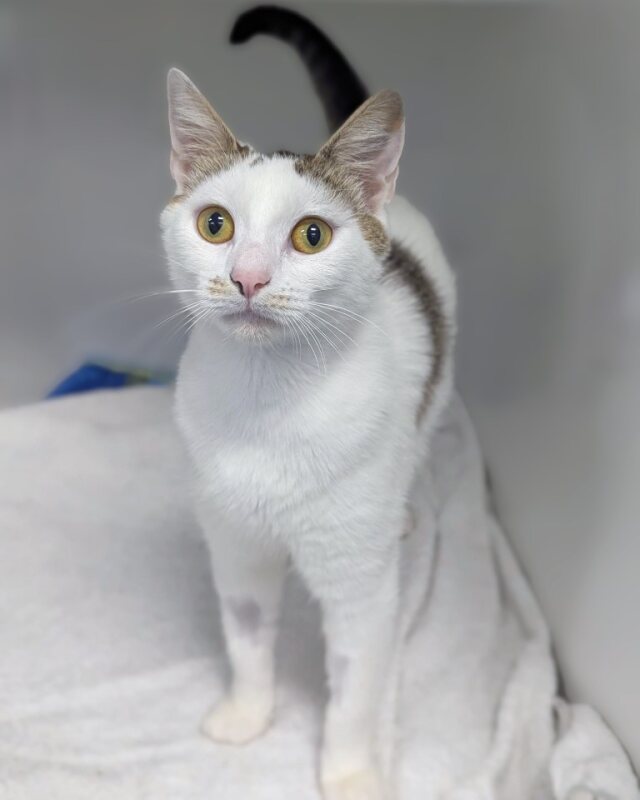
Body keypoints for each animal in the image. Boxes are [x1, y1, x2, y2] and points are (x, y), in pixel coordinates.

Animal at [161, 6, 456, 799]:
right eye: (215, 224)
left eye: (312, 235)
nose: (249, 278)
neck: (267, 405)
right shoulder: (236, 548)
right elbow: (246, 640)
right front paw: (246, 715)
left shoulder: (360, 590)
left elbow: (354, 688)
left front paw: (350, 773)